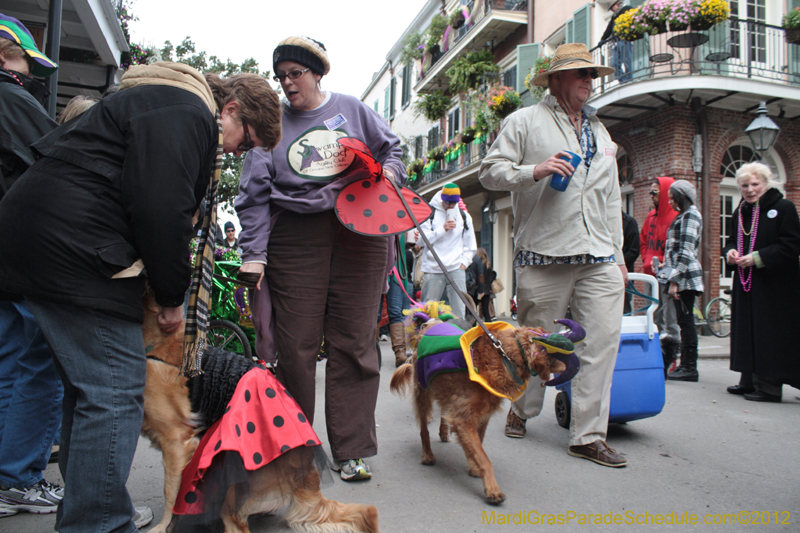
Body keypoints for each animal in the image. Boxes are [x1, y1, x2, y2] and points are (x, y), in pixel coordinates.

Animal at [390, 316, 584, 502]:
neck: (505, 356)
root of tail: (430, 324)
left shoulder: (483, 416)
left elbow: (477, 445)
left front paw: (472, 466)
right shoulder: (464, 418)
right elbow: (484, 458)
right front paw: (492, 490)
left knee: (443, 414)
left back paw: (444, 434)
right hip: (422, 391)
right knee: (424, 429)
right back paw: (427, 455)